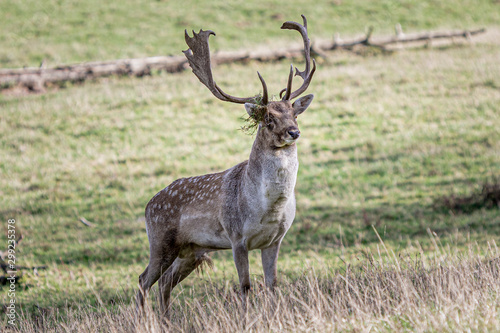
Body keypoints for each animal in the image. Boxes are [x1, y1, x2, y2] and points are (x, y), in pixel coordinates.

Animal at [137, 14, 316, 316]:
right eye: (268, 119)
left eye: (294, 113)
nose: (294, 132)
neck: (268, 208)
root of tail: (148, 204)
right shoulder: (237, 237)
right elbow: (245, 286)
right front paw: (246, 318)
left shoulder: (275, 240)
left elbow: (273, 284)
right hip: (160, 241)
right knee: (143, 280)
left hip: (192, 250)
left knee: (164, 283)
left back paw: (167, 320)